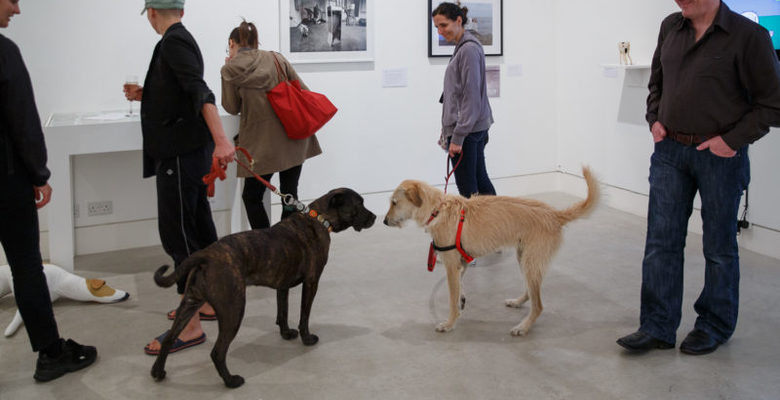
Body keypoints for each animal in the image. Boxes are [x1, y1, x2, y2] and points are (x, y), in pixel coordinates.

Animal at [151, 188, 376, 388]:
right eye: (359, 204)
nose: (374, 216)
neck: (319, 218)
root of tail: (206, 255)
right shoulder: (311, 283)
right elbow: (304, 316)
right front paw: (307, 338)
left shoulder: (283, 286)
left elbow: (283, 312)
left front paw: (286, 334)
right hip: (233, 310)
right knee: (217, 352)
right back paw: (231, 381)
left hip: (190, 303)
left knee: (169, 338)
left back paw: (158, 372)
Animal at [382, 167, 596, 336]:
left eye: (394, 203)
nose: (383, 221)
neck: (438, 209)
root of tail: (554, 214)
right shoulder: (461, 264)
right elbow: (459, 288)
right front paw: (461, 301)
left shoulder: (451, 266)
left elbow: (451, 298)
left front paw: (450, 323)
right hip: (524, 259)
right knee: (530, 293)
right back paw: (518, 302)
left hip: (530, 262)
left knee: (539, 305)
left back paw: (523, 327)